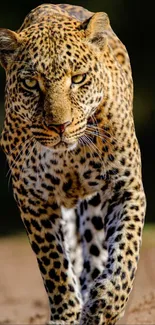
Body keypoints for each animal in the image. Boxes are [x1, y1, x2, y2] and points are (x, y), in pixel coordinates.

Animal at [0, 3, 146, 324]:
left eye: (78, 78)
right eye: (31, 83)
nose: (60, 126)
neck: (70, 155)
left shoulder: (126, 188)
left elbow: (126, 253)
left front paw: (106, 304)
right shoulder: (32, 197)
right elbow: (54, 264)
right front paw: (66, 314)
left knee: (96, 253)